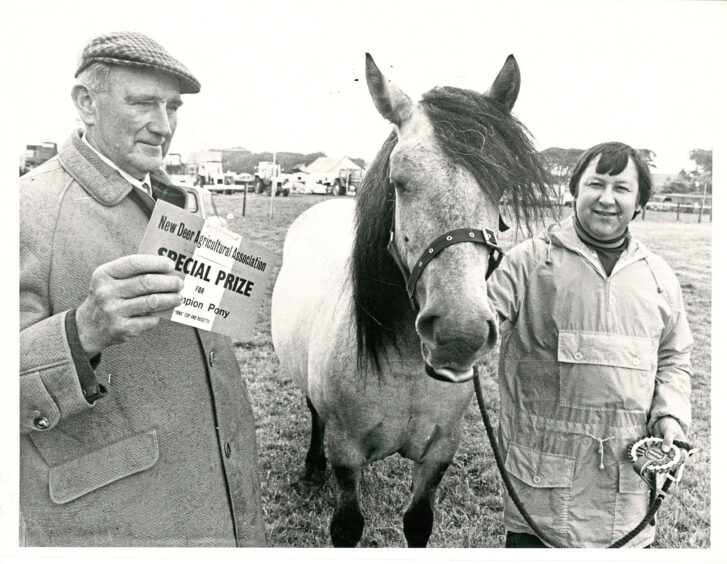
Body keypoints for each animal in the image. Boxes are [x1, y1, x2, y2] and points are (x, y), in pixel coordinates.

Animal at [272, 53, 552, 548]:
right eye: (399, 180)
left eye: (499, 184)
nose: (460, 333)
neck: (403, 363)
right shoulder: (346, 452)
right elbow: (347, 525)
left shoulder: (439, 452)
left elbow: (418, 521)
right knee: (313, 415)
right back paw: (310, 471)